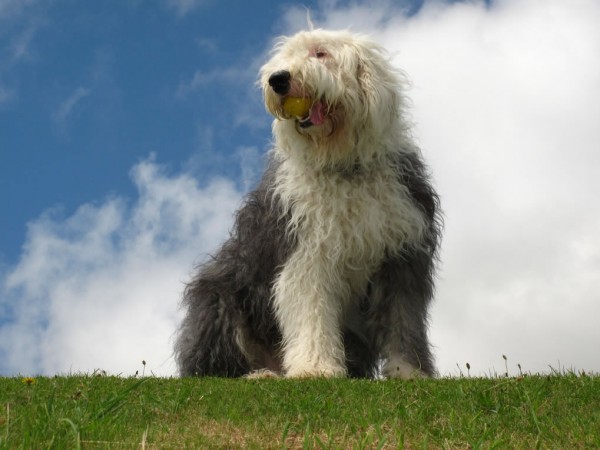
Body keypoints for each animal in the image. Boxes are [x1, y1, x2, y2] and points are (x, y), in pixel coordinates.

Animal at [173, 29, 440, 380]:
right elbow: (311, 307)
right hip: (219, 295)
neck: (343, 166)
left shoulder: (401, 257)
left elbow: (402, 318)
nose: (278, 80)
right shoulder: (307, 252)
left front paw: (408, 370)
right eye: (284, 57)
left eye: (320, 53)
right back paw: (259, 375)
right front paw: (315, 367)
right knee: (213, 368)